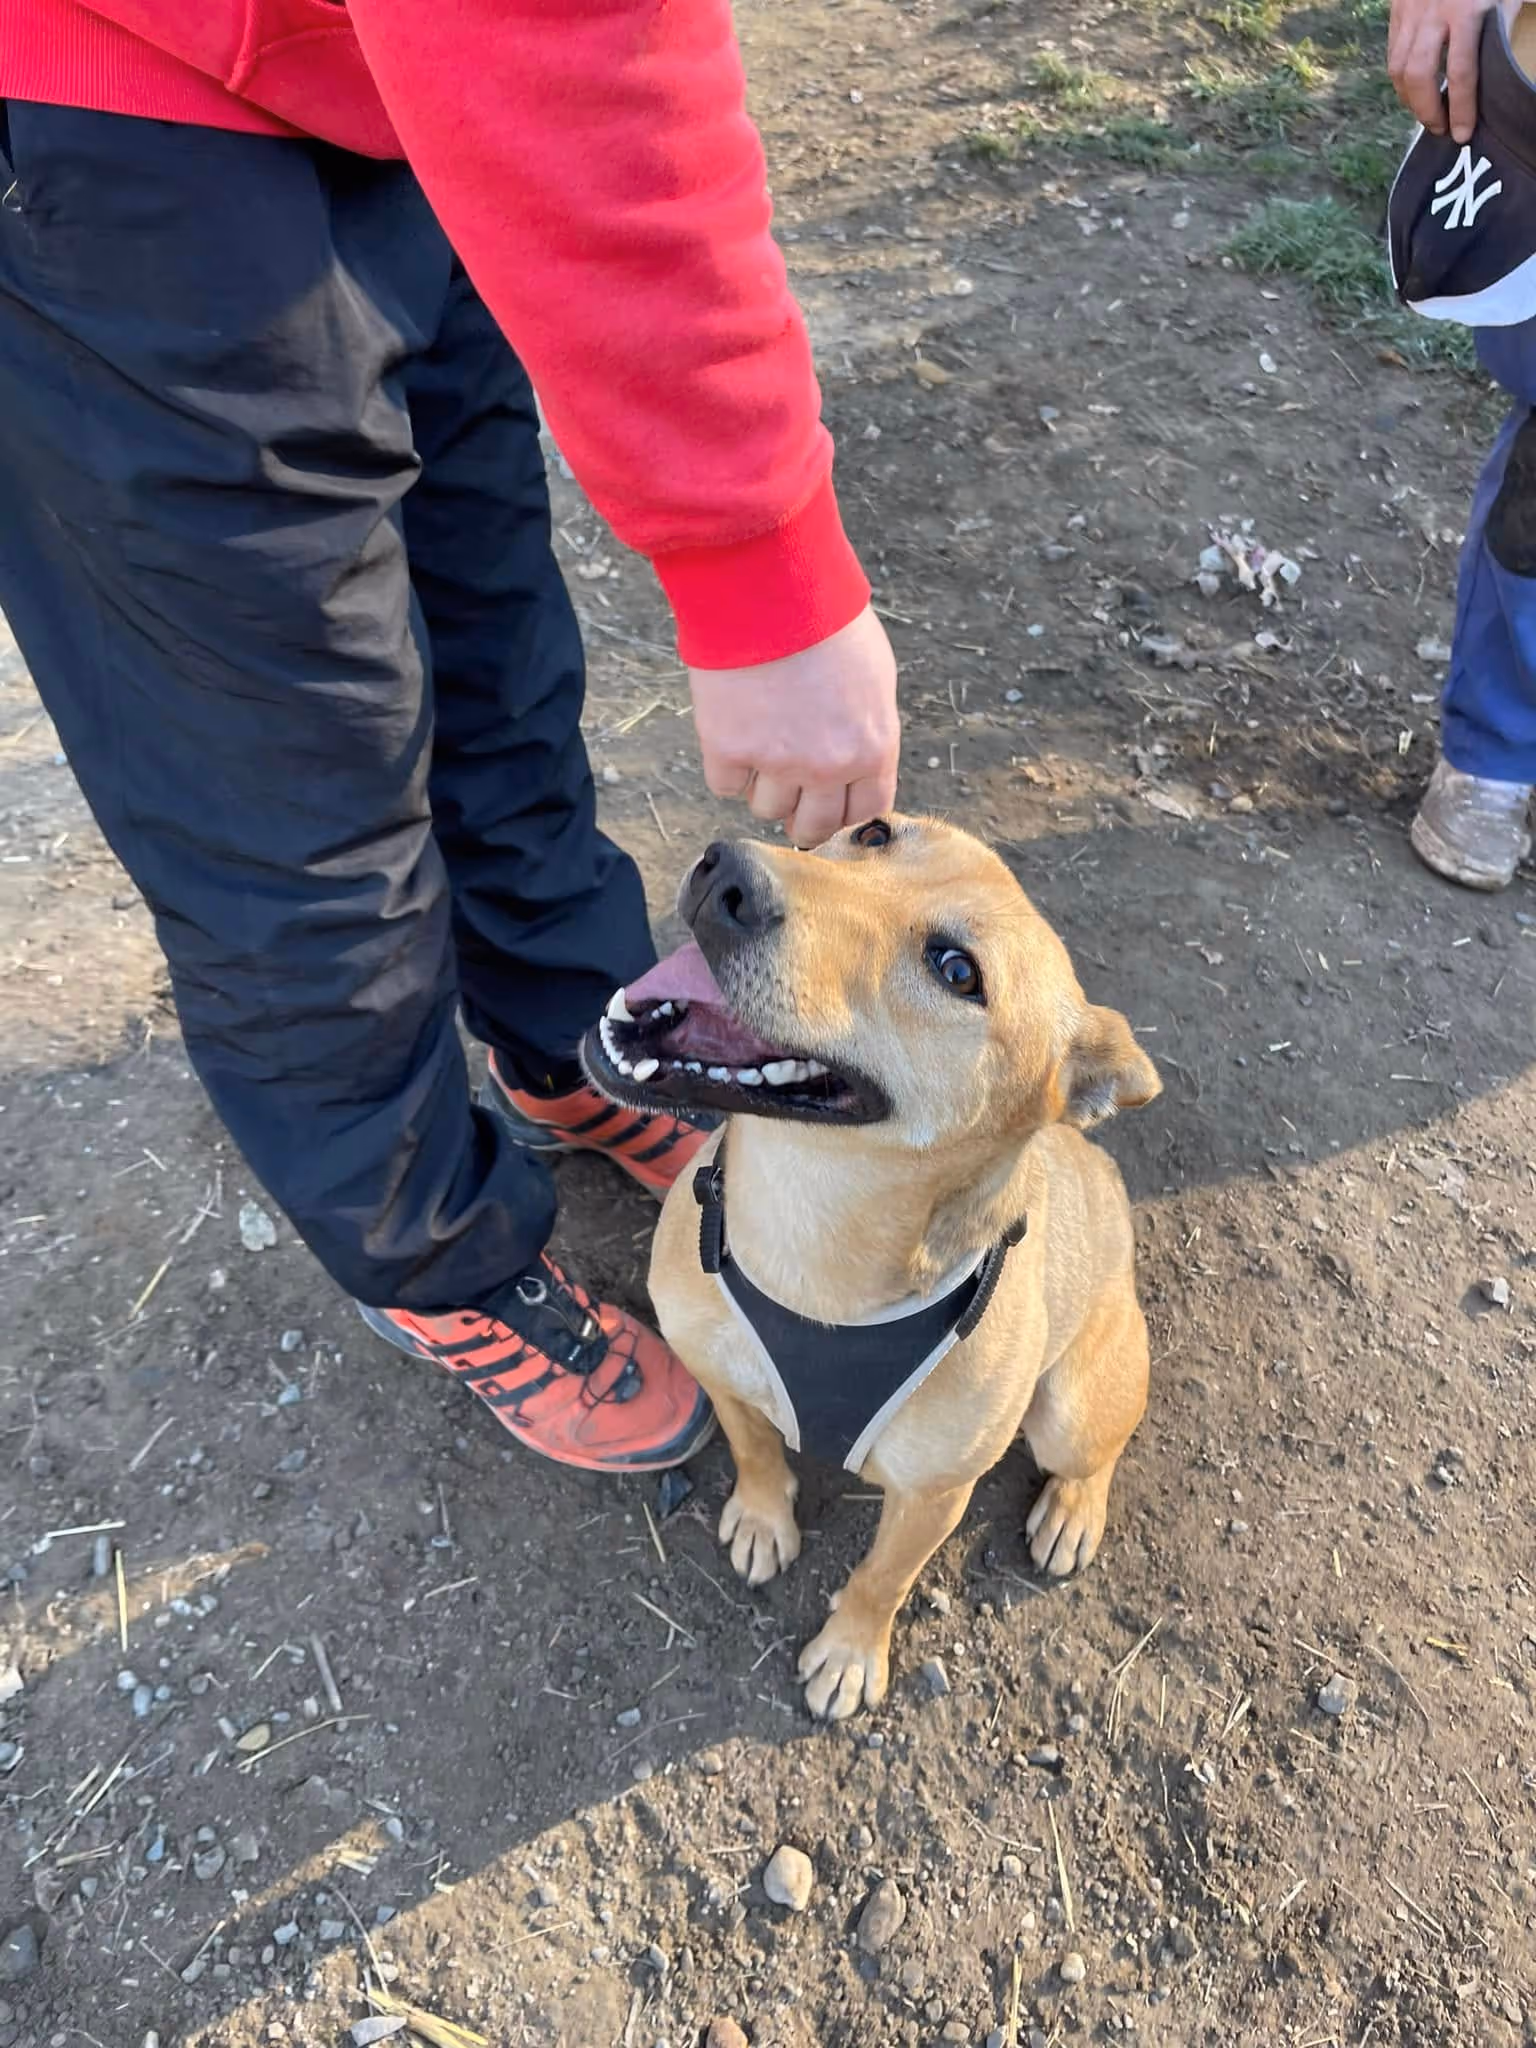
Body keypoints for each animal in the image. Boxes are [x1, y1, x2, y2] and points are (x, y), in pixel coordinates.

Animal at [582, 813, 1160, 1719]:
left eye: (957, 970)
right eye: (874, 830)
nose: (728, 873)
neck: (807, 1243)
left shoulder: (932, 1496)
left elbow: (882, 1579)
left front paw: (851, 1654)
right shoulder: (716, 1371)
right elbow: (754, 1448)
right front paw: (763, 1517)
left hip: (1068, 1409)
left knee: (1095, 1452)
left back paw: (1072, 1511)